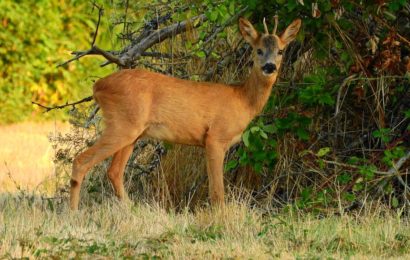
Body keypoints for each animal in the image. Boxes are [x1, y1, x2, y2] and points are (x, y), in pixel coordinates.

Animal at [69, 16, 302, 210]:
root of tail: (98, 86)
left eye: (280, 51)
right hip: (122, 124)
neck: (242, 100)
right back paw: (73, 214)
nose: (269, 67)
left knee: (114, 171)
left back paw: (131, 210)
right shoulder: (215, 137)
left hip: (133, 132)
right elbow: (217, 192)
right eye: (258, 50)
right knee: (81, 161)